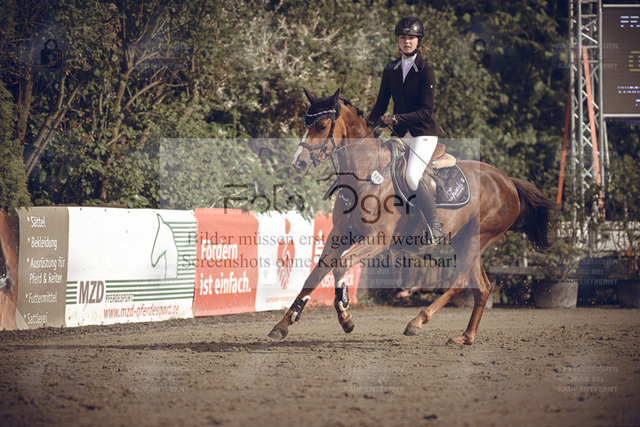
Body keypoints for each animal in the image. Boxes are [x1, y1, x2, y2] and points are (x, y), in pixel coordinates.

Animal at [268, 88, 555, 345]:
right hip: (465, 239)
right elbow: (314, 275)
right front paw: (283, 324)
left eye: (322, 125)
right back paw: (464, 337)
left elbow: (341, 265)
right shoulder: (339, 235)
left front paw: (345, 314)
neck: (367, 175)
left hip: (477, 237)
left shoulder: (377, 241)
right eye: (305, 123)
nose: (299, 163)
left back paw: (417, 322)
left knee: (461, 281)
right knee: (482, 287)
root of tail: (507, 181)